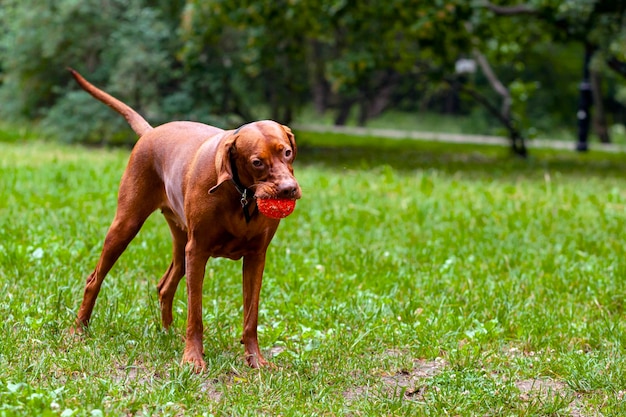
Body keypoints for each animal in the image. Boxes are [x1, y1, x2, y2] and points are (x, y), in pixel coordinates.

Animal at [69, 69, 302, 370]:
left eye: (287, 152)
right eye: (257, 162)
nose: (288, 190)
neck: (241, 196)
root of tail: (151, 131)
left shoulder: (256, 256)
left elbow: (251, 316)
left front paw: (255, 359)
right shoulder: (198, 251)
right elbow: (196, 314)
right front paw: (193, 358)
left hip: (181, 244)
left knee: (165, 286)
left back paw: (167, 333)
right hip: (126, 226)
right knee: (94, 280)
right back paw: (79, 330)